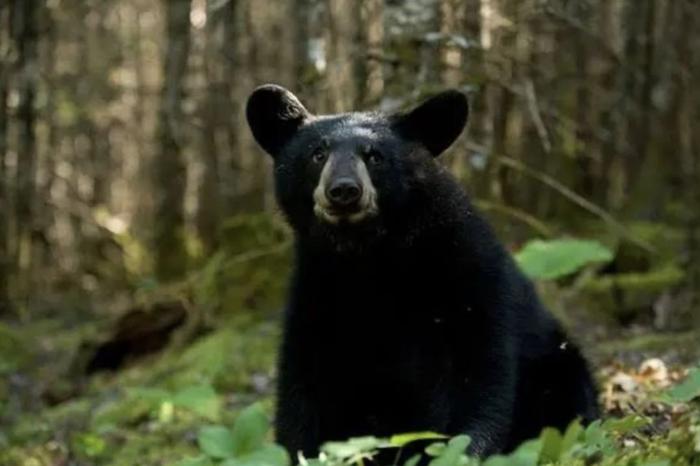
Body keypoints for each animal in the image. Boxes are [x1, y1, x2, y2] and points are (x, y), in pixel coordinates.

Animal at [245, 83, 596, 458]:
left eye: (375, 156)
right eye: (318, 154)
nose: (343, 190)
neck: (368, 259)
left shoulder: (469, 280)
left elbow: (479, 378)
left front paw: (461, 453)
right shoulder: (318, 292)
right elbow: (304, 389)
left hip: (559, 369)